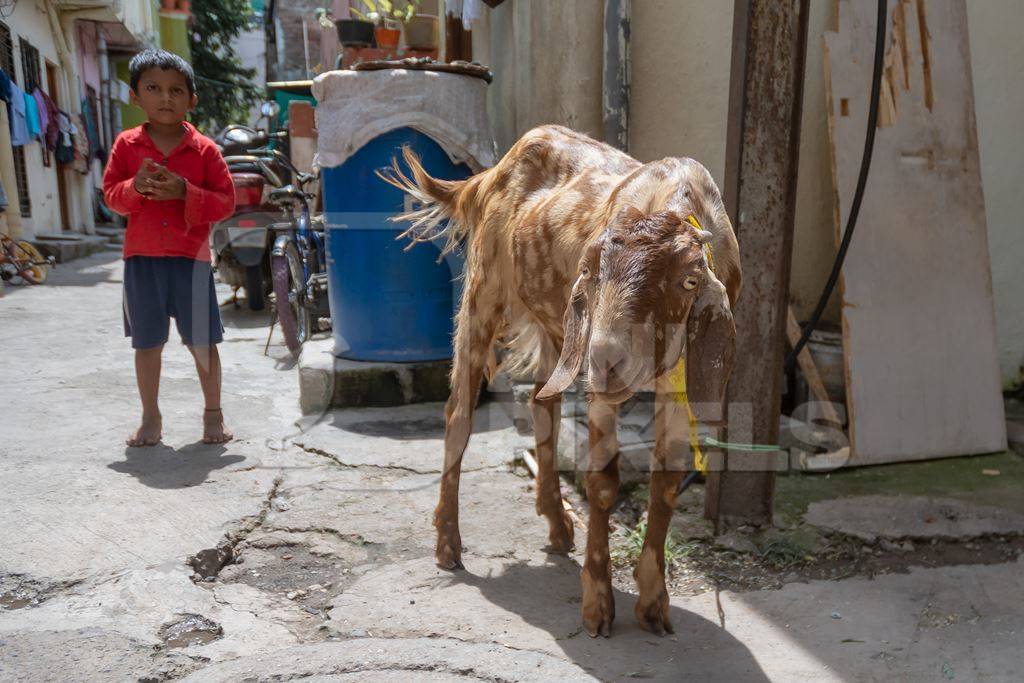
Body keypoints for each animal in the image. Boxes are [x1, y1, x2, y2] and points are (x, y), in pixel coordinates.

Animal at [387, 126, 741, 634]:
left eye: (689, 281)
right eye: (591, 275)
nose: (605, 359)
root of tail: (494, 171)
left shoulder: (677, 386)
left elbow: (667, 480)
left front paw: (654, 601)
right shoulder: (600, 389)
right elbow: (603, 482)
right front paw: (597, 603)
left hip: (556, 328)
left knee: (541, 402)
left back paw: (556, 522)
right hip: (484, 295)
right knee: (458, 415)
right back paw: (448, 545)